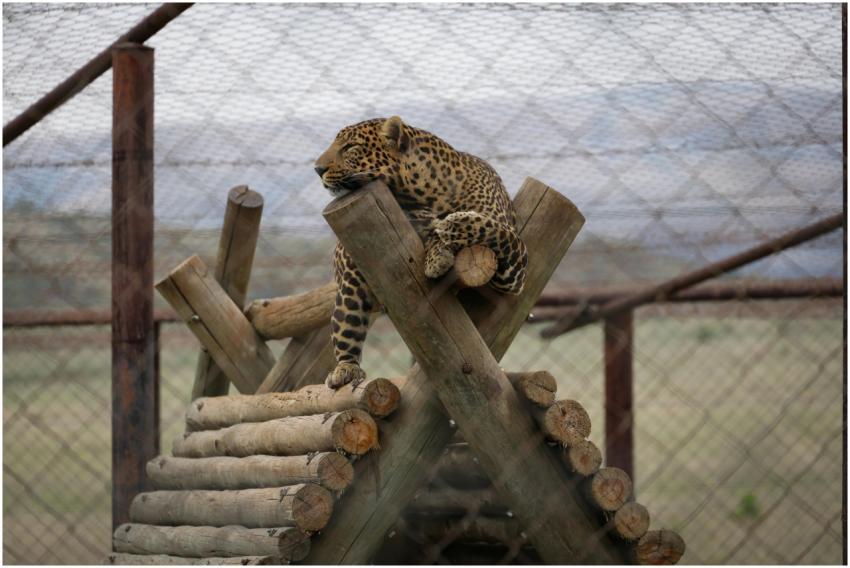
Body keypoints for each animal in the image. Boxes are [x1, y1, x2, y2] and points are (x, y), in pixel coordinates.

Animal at [314, 116, 528, 389]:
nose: (317, 169)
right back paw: (345, 369)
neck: (424, 194)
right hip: (350, 287)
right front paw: (439, 250)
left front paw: (450, 230)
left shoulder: (514, 269)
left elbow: (492, 229)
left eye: (350, 147)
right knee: (346, 327)